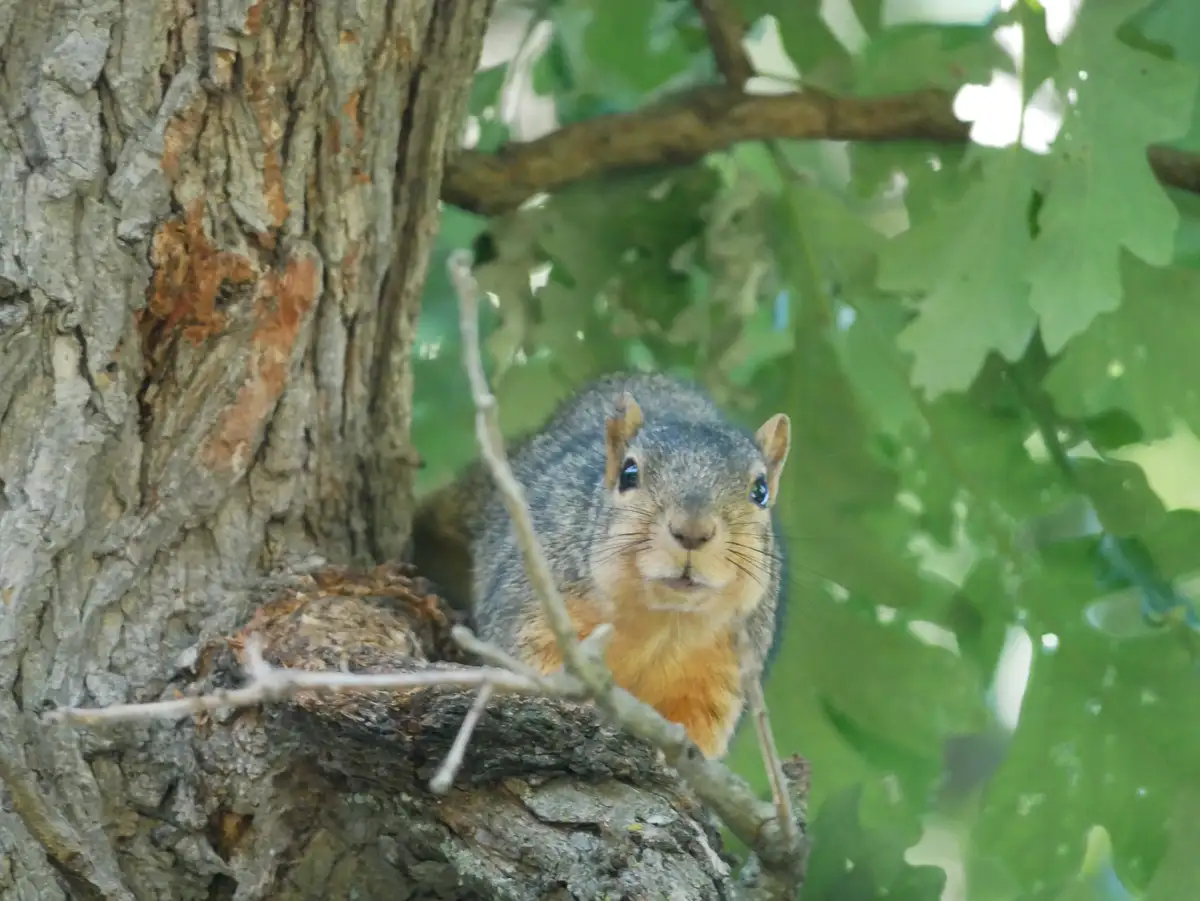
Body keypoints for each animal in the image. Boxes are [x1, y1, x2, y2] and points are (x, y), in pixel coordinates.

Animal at [411, 371, 791, 759]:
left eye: (760, 490)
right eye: (629, 473)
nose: (692, 530)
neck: (660, 623)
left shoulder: (722, 673)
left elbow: (696, 730)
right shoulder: (532, 607)